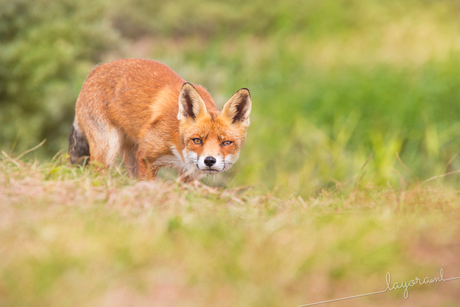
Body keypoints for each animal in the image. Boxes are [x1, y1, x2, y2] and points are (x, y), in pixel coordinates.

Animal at [69, 59, 252, 183]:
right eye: (197, 140)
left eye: (226, 143)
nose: (209, 160)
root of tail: (95, 70)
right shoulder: (146, 156)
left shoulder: (189, 173)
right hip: (107, 149)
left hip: (129, 154)